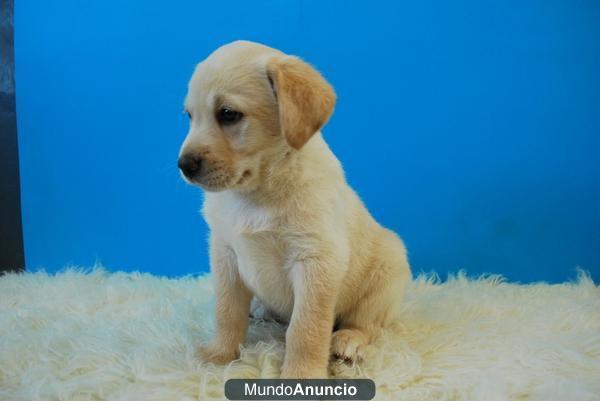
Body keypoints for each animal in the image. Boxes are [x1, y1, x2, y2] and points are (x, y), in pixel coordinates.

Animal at [179, 40, 412, 378]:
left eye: (228, 114)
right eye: (189, 115)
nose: (183, 165)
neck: (258, 192)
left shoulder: (316, 260)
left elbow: (305, 328)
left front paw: (302, 374)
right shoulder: (225, 253)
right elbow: (226, 311)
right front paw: (219, 354)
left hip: (388, 271)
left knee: (368, 324)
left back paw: (348, 342)